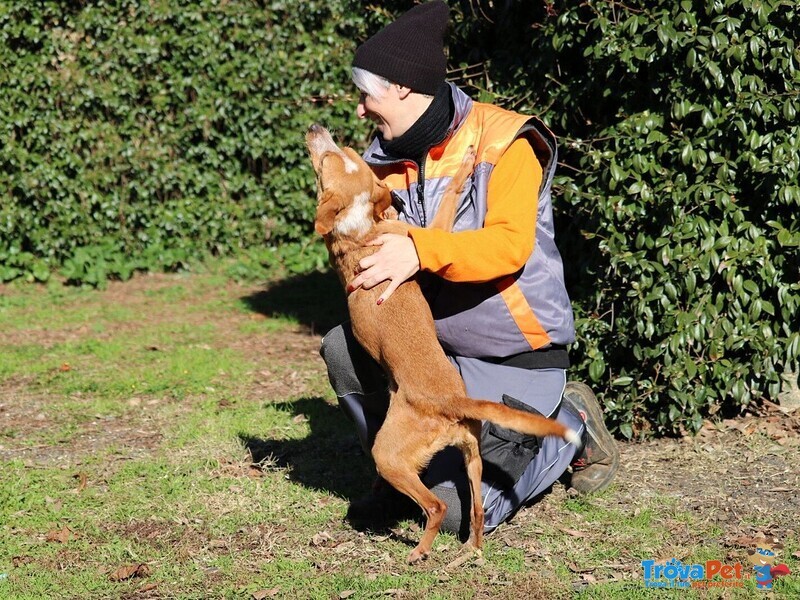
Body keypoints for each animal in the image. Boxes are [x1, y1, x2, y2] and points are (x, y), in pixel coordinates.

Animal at [308, 124, 580, 564]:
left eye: (336, 154)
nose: (316, 129)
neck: (361, 227)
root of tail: (453, 401)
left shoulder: (416, 239)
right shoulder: (420, 236)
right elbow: (446, 201)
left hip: (417, 458)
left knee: (444, 507)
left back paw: (431, 551)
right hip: (459, 457)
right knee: (465, 510)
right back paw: (456, 551)